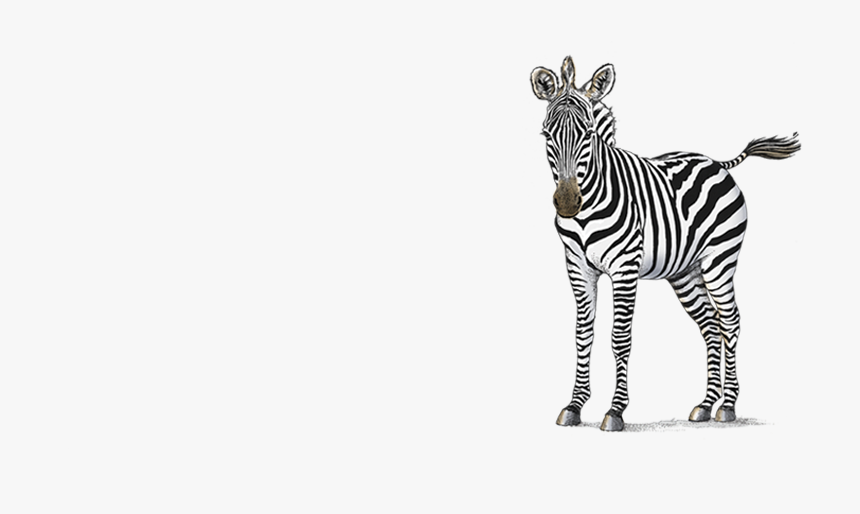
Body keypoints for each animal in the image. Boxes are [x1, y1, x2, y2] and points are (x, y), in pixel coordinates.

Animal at [530, 56, 800, 431]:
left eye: (589, 134)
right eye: (546, 134)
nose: (568, 203)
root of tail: (716, 162)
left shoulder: (624, 267)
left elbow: (619, 338)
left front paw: (615, 411)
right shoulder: (577, 268)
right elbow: (582, 335)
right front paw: (574, 405)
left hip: (720, 262)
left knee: (730, 321)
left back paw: (728, 405)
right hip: (685, 273)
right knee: (710, 325)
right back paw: (705, 404)